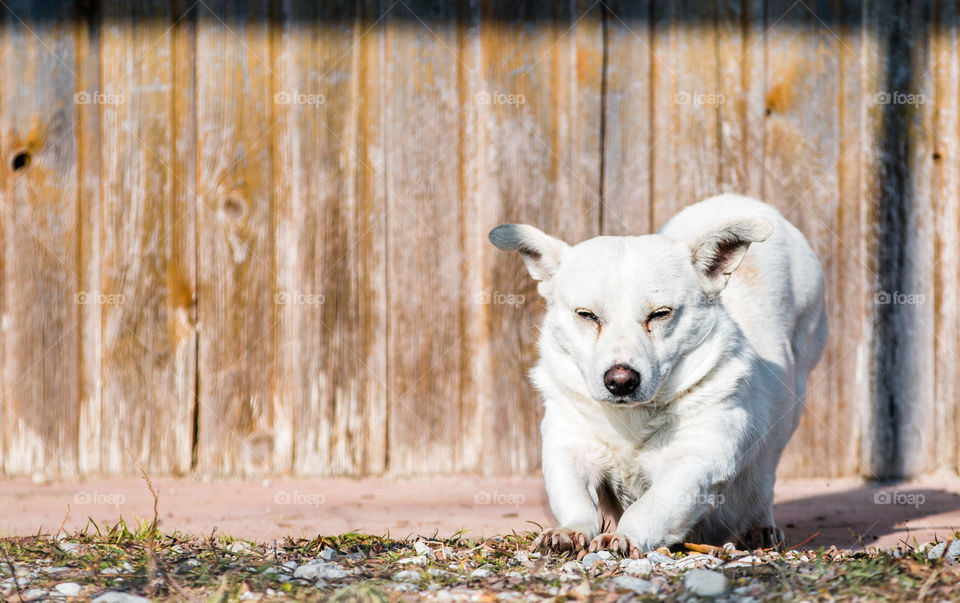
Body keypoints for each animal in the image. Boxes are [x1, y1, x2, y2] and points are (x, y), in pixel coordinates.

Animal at [492, 193, 828, 556]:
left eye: (660, 314)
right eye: (586, 315)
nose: (621, 381)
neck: (630, 420)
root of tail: (743, 201)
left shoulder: (696, 460)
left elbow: (652, 506)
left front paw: (624, 536)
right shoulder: (568, 446)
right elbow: (574, 498)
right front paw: (569, 531)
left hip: (793, 397)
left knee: (764, 475)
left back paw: (759, 527)